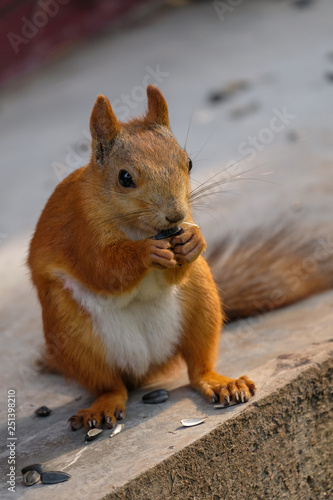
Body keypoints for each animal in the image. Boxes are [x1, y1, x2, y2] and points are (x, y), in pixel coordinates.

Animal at [28, 85, 256, 430]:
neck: (138, 228)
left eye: (189, 162)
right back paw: (102, 406)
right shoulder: (80, 229)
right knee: (109, 385)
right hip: (71, 331)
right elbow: (103, 270)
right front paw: (146, 252)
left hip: (201, 300)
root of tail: (145, 365)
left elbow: (176, 266)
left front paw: (194, 240)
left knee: (197, 367)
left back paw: (221, 382)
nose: (176, 215)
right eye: (125, 178)